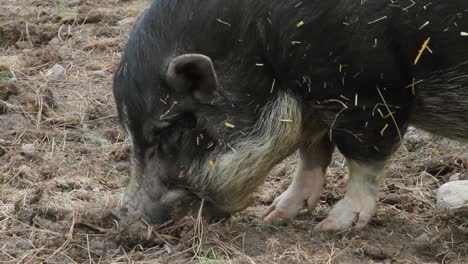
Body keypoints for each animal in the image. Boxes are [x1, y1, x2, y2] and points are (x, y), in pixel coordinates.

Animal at [113, 0, 468, 230]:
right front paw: (273, 216)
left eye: (171, 132)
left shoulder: (370, 93)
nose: (123, 220)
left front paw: (331, 227)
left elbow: (362, 158)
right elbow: (312, 152)